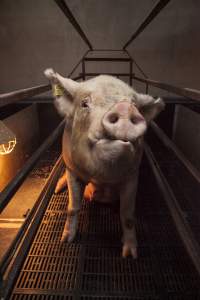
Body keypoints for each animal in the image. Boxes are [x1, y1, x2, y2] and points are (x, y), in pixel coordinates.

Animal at [43, 68, 164, 258]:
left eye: (135, 105)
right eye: (84, 103)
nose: (124, 107)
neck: (101, 178)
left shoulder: (132, 175)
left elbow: (127, 215)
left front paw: (130, 255)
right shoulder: (73, 170)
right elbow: (73, 207)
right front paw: (66, 240)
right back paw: (57, 188)